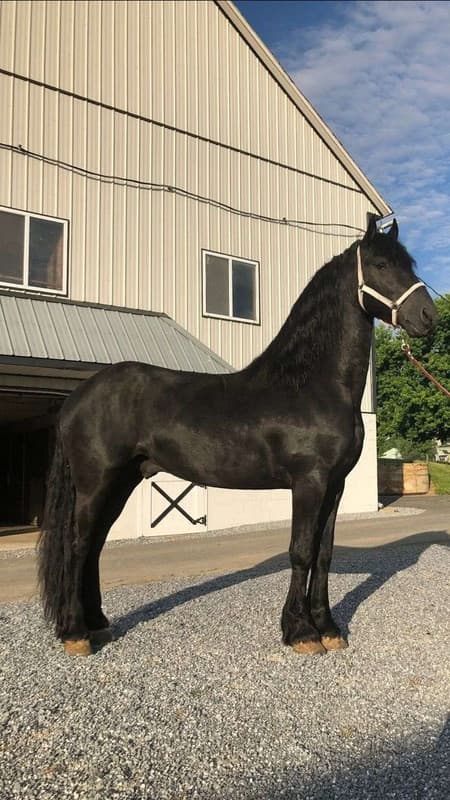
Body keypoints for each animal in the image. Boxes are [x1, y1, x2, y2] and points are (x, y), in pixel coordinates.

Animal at [38, 216, 437, 656]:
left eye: (410, 264)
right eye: (381, 264)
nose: (429, 316)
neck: (313, 385)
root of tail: (78, 396)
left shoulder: (336, 485)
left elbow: (324, 554)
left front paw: (329, 628)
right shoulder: (309, 482)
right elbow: (301, 552)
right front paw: (301, 633)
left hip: (122, 481)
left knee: (94, 544)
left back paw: (97, 623)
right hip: (96, 482)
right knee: (78, 545)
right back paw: (76, 633)